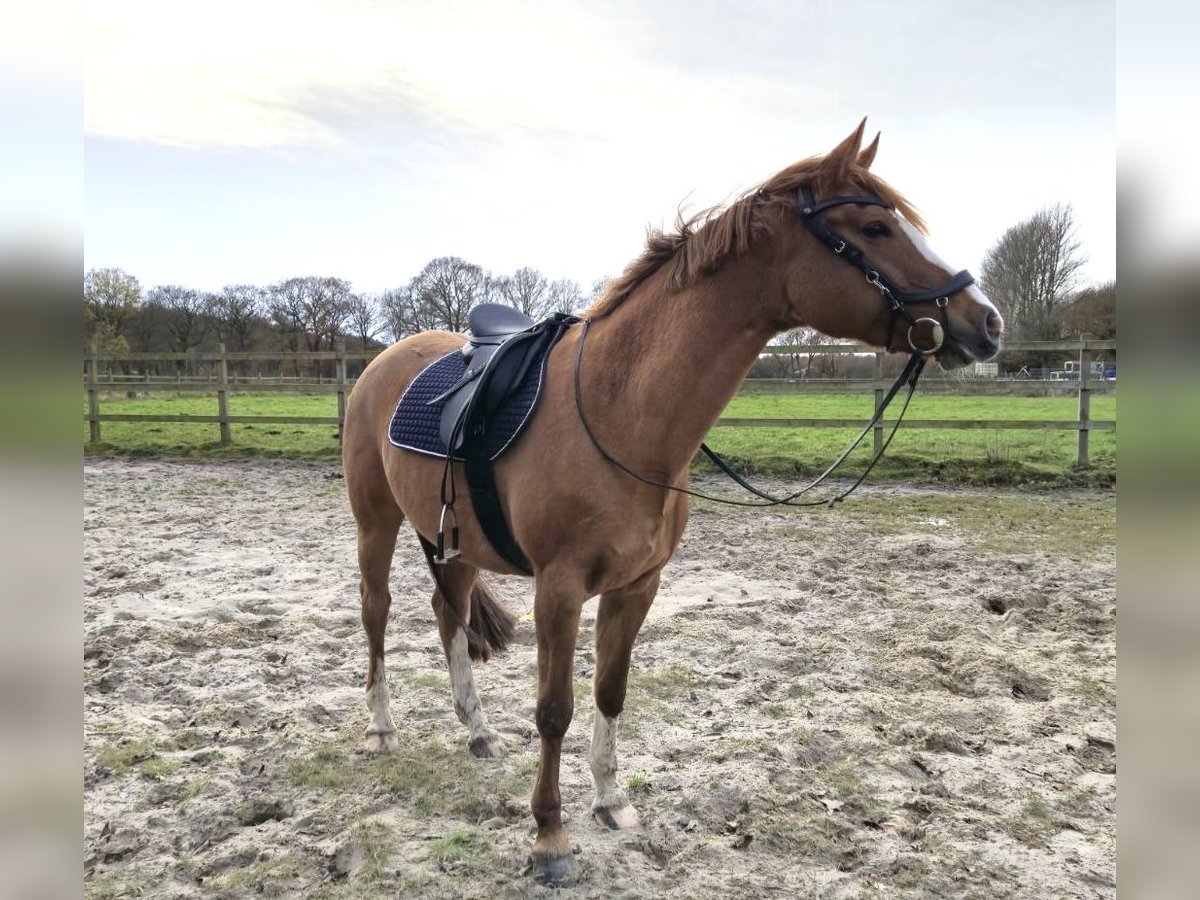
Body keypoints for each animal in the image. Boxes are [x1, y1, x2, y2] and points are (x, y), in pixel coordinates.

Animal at [345, 121, 1003, 888]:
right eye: (874, 227)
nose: (986, 322)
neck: (617, 407)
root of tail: (388, 360)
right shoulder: (558, 589)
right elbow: (554, 709)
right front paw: (550, 839)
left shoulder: (637, 585)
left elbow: (610, 692)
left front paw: (611, 802)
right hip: (376, 523)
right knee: (377, 612)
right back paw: (381, 727)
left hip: (453, 538)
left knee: (446, 609)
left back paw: (476, 731)